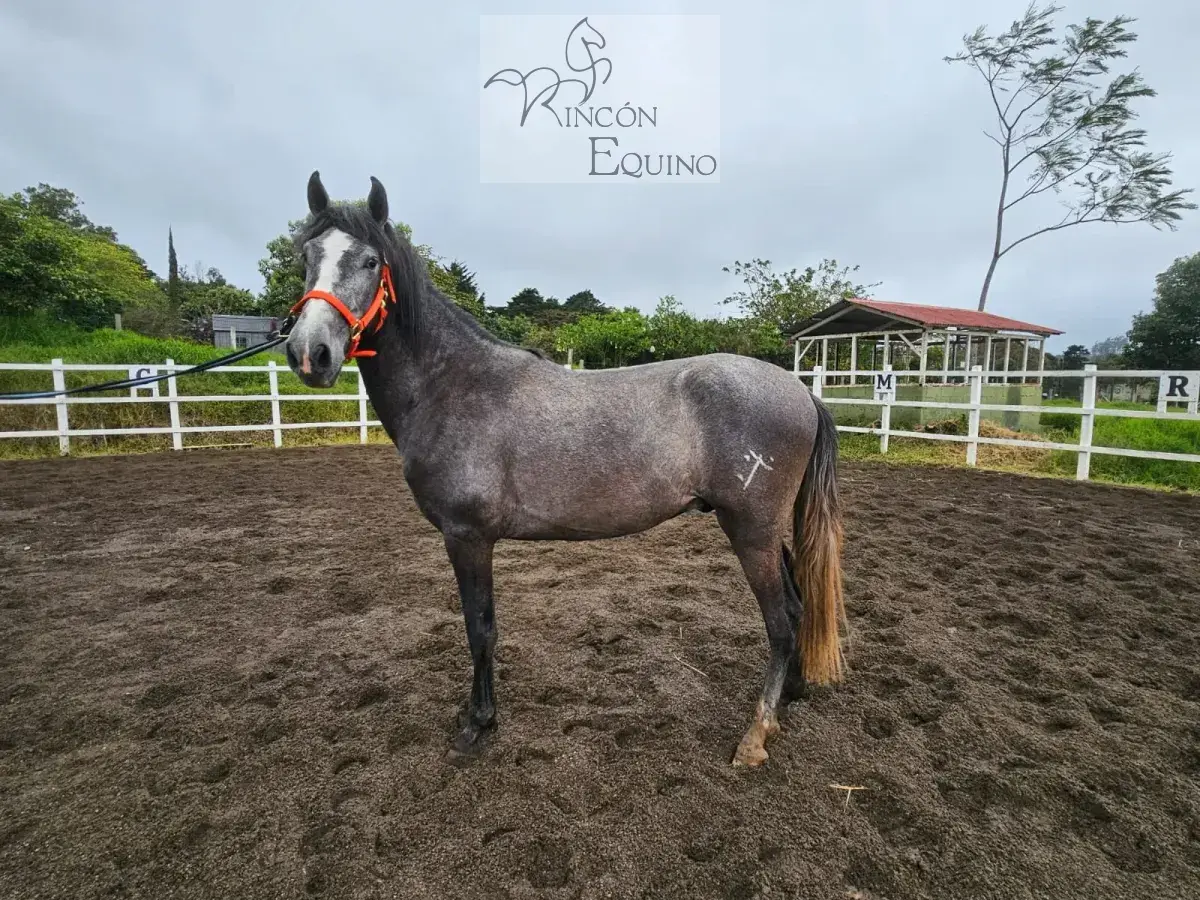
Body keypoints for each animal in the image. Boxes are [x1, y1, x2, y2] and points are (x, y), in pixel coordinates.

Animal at [283, 171, 847, 767]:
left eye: (371, 261)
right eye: (307, 256)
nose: (310, 352)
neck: (453, 385)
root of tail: (802, 393)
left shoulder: (467, 537)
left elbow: (479, 629)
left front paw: (477, 724)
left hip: (750, 528)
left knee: (781, 622)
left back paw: (756, 733)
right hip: (760, 528)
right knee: (797, 606)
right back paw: (790, 696)